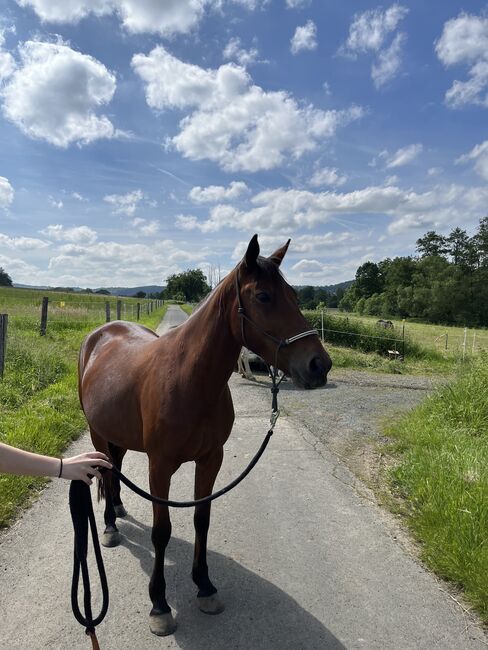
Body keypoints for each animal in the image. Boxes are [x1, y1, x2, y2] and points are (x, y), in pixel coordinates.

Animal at [78, 233, 334, 632]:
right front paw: (159, 604)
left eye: (294, 294)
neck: (189, 379)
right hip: (96, 432)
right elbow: (162, 530)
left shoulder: (211, 458)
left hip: (116, 433)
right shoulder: (159, 467)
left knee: (115, 468)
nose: (319, 365)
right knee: (106, 471)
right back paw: (108, 527)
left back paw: (117, 509)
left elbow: (202, 519)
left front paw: (205, 585)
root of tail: (100, 335)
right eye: (264, 296)